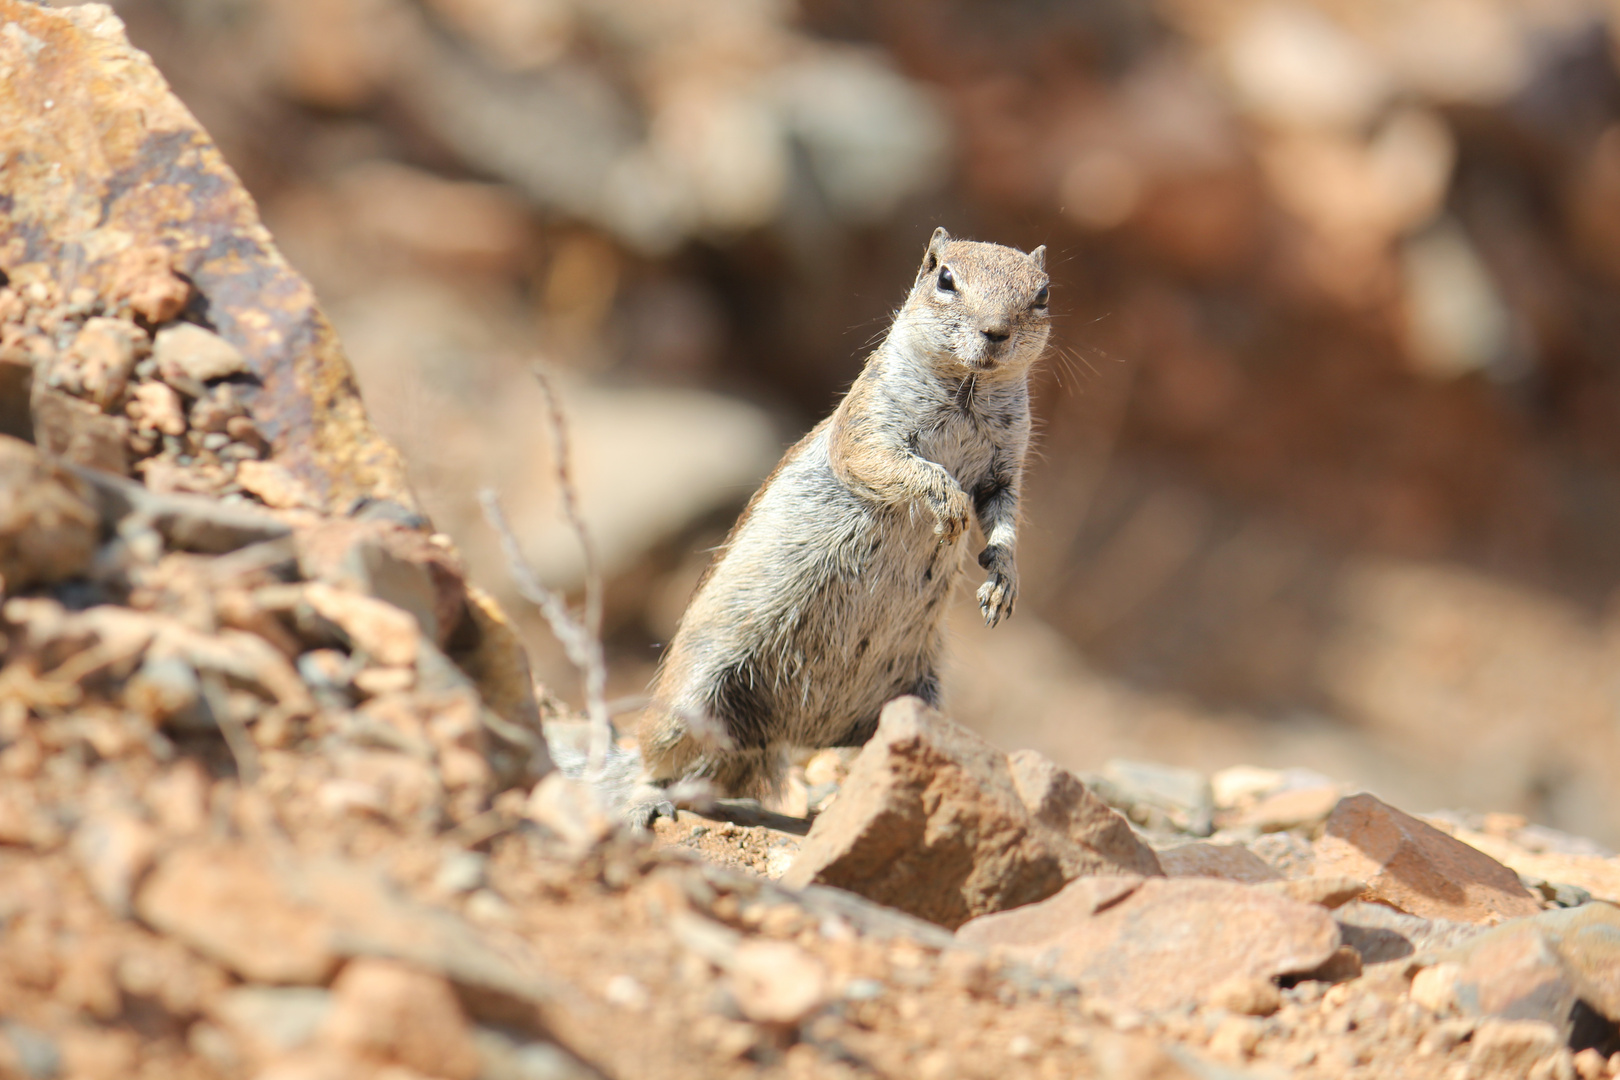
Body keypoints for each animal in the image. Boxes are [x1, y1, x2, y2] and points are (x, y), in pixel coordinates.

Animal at [631, 228, 1049, 803]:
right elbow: (889, 462)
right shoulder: (868, 426)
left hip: (916, 690)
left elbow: (1004, 513)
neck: (969, 388)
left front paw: (1003, 578)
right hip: (692, 698)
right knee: (652, 757)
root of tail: (793, 732)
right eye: (945, 278)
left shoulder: (1005, 468)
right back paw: (644, 797)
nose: (996, 332)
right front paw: (948, 504)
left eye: (1043, 295)